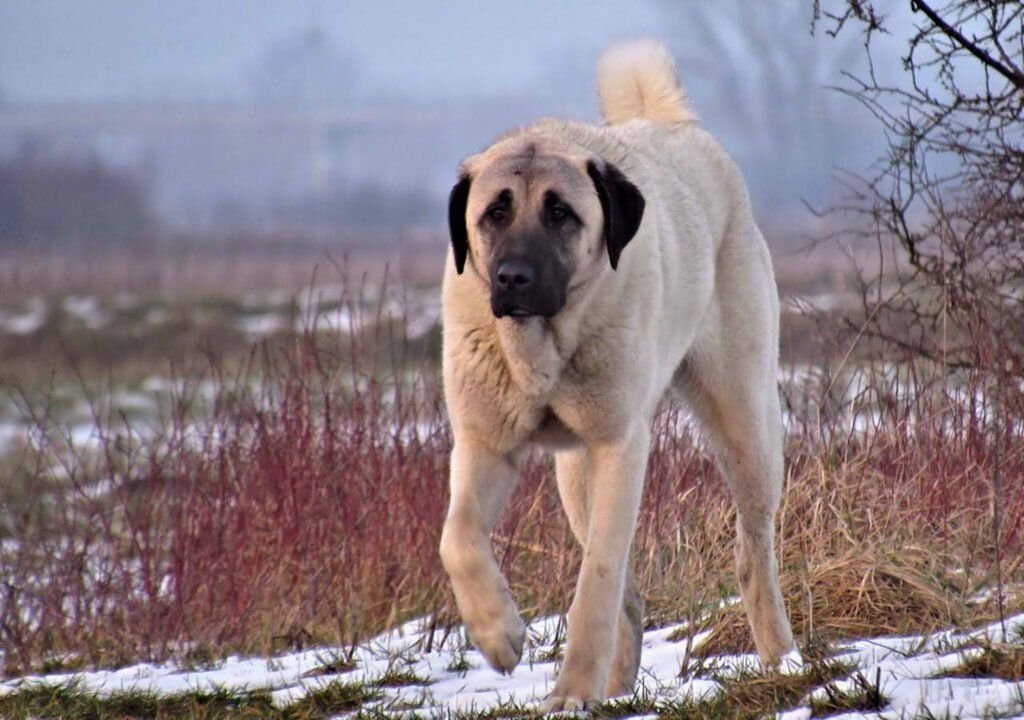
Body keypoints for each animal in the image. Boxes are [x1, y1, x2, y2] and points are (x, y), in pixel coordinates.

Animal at [436, 37, 794, 708]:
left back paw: (781, 661)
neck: (543, 348)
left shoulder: (619, 447)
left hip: (745, 428)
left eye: (560, 214)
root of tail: (672, 125)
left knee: (752, 556)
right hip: (575, 475)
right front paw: (499, 634)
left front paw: (572, 688)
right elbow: (457, 539)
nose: (514, 278)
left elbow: (597, 579)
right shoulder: (485, 443)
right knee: (629, 597)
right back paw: (617, 688)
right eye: (494, 213)